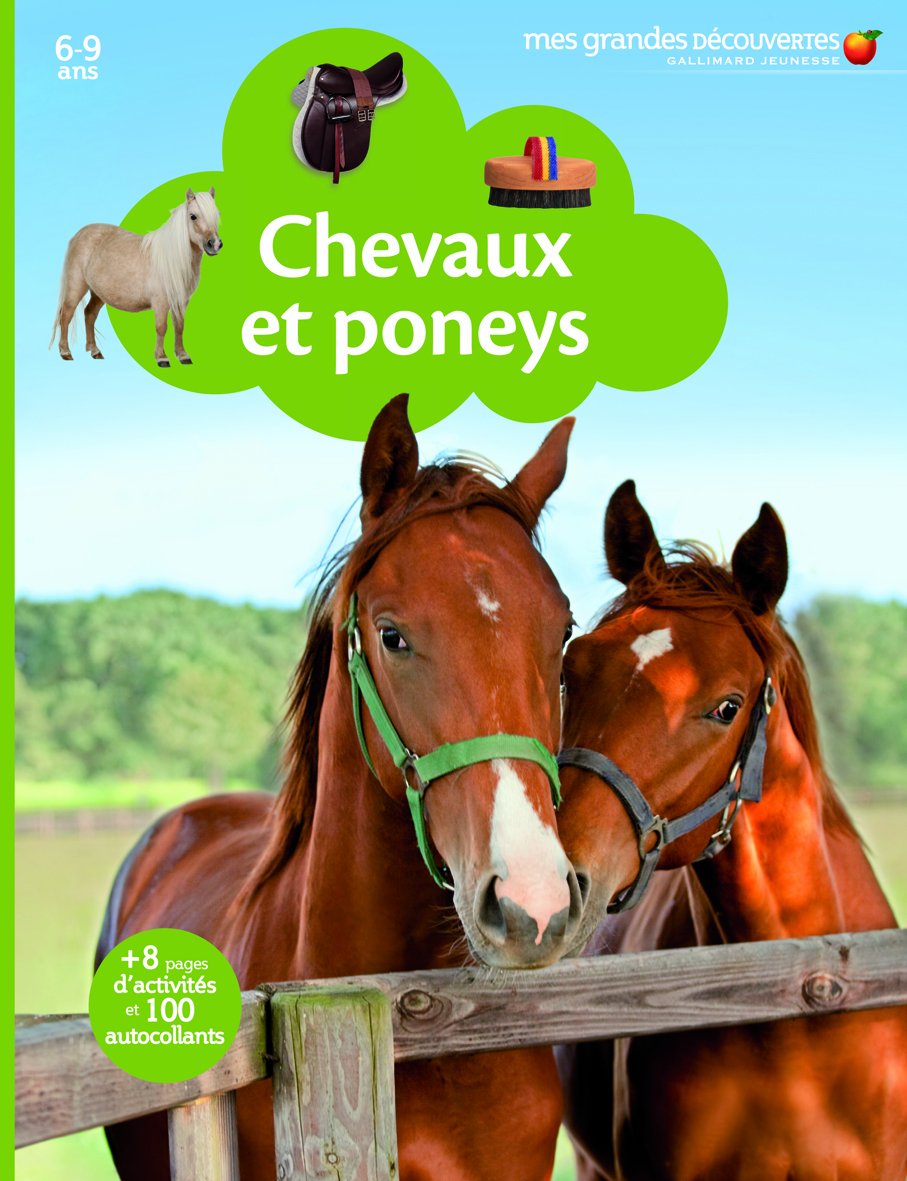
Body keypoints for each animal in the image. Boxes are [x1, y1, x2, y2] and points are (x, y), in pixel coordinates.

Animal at [51, 188, 221, 367]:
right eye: (193, 216)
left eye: (216, 214)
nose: (215, 244)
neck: (171, 258)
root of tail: (79, 234)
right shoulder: (160, 302)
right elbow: (161, 327)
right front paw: (162, 358)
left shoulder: (181, 301)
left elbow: (179, 326)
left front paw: (183, 356)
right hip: (76, 286)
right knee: (66, 314)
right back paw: (65, 352)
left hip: (98, 292)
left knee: (89, 314)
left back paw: (95, 351)